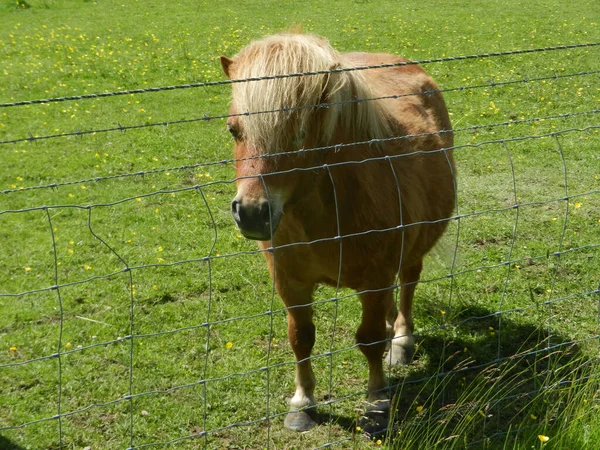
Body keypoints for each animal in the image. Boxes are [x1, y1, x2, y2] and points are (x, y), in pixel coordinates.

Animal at [220, 33, 454, 434]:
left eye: (299, 134)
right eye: (234, 130)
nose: (250, 213)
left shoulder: (374, 279)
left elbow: (370, 340)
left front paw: (376, 403)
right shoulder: (290, 282)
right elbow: (301, 339)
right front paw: (302, 402)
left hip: (412, 251)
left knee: (407, 285)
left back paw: (401, 340)